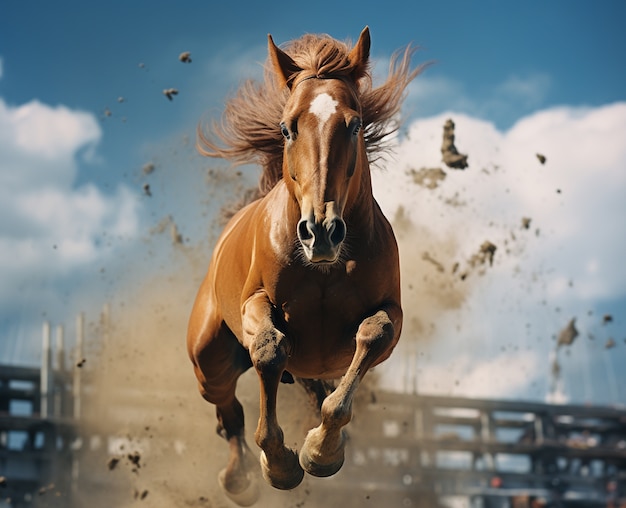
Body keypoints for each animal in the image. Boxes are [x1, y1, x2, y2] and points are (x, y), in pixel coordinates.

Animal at [185, 27, 420, 504]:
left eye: (354, 124)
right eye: (286, 127)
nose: (320, 232)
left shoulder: (392, 314)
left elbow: (373, 334)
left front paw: (320, 451)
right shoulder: (256, 303)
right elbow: (269, 349)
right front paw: (278, 464)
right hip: (207, 357)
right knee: (228, 410)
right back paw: (238, 479)